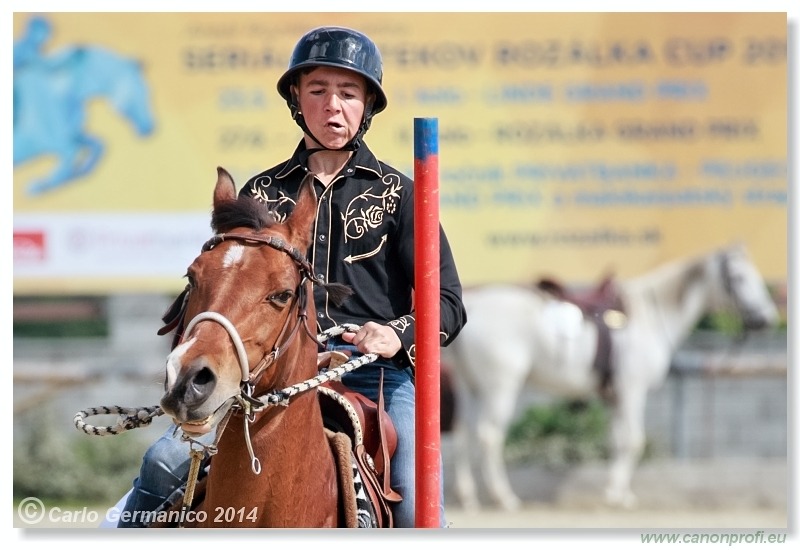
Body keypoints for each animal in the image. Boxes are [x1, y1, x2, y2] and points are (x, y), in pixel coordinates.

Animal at [440, 246, 780, 512]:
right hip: (501, 386)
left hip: (471, 387)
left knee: (463, 434)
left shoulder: (615, 396)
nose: (766, 319)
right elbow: (634, 441)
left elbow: (617, 441)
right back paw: (504, 497)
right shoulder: (632, 390)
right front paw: (616, 495)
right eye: (739, 278)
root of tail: (476, 303)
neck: (650, 314)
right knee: (489, 436)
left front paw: (617, 491)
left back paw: (468, 496)